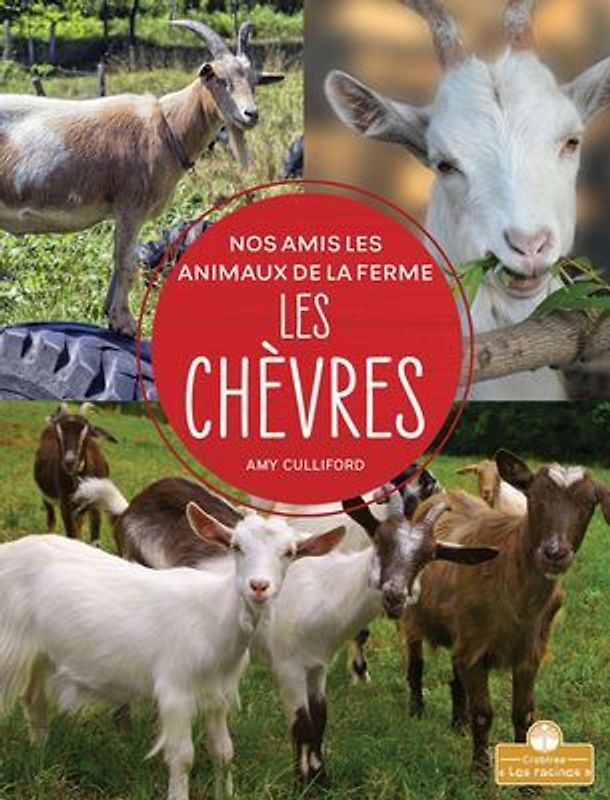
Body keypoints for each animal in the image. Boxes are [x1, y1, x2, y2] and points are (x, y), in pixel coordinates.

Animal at [0, 21, 283, 337]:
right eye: (219, 79)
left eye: (254, 80)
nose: (250, 114)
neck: (166, 126)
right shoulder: (130, 205)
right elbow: (126, 263)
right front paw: (125, 322)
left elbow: (121, 263)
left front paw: (110, 316)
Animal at [0, 512, 343, 800]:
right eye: (236, 546)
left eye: (290, 553)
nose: (259, 586)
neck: (214, 616)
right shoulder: (176, 690)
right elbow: (183, 757)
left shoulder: (217, 694)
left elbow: (223, 752)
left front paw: (226, 793)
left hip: (39, 653)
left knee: (34, 701)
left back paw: (40, 756)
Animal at [33, 402, 117, 543]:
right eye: (58, 436)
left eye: (86, 434)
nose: (70, 462)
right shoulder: (66, 508)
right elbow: (72, 536)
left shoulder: (95, 507)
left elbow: (94, 540)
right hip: (46, 498)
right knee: (51, 521)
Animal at [76, 475, 498, 785]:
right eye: (380, 542)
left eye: (428, 556)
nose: (395, 595)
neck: (325, 592)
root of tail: (129, 507)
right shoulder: (288, 665)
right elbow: (302, 723)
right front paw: (303, 781)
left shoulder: (317, 665)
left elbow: (321, 719)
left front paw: (321, 779)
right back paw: (123, 725)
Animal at [401, 450, 610, 780]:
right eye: (533, 498)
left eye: (590, 504)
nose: (554, 553)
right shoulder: (476, 646)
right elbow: (483, 713)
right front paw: (480, 773)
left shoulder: (528, 651)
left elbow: (523, 715)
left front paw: (529, 782)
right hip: (414, 614)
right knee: (416, 663)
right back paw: (417, 710)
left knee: (456, 675)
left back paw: (458, 724)